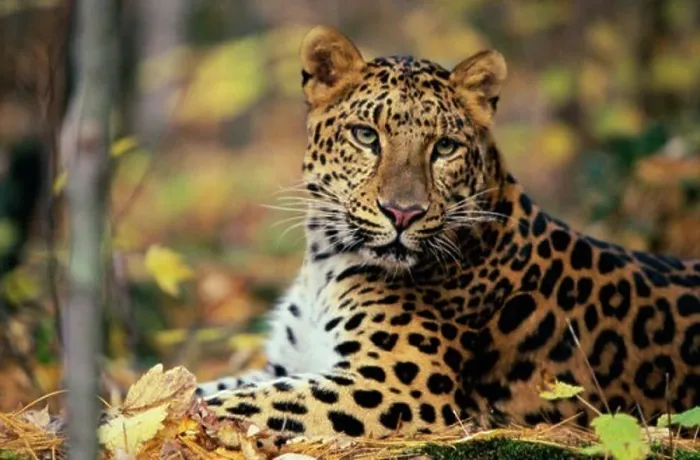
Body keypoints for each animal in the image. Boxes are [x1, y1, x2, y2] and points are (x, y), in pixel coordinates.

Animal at [196, 26, 700, 446]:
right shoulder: (290, 363)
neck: (326, 262)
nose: (403, 213)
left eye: (444, 147)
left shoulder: (394, 385)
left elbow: (239, 402)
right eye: (366, 136)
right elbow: (210, 385)